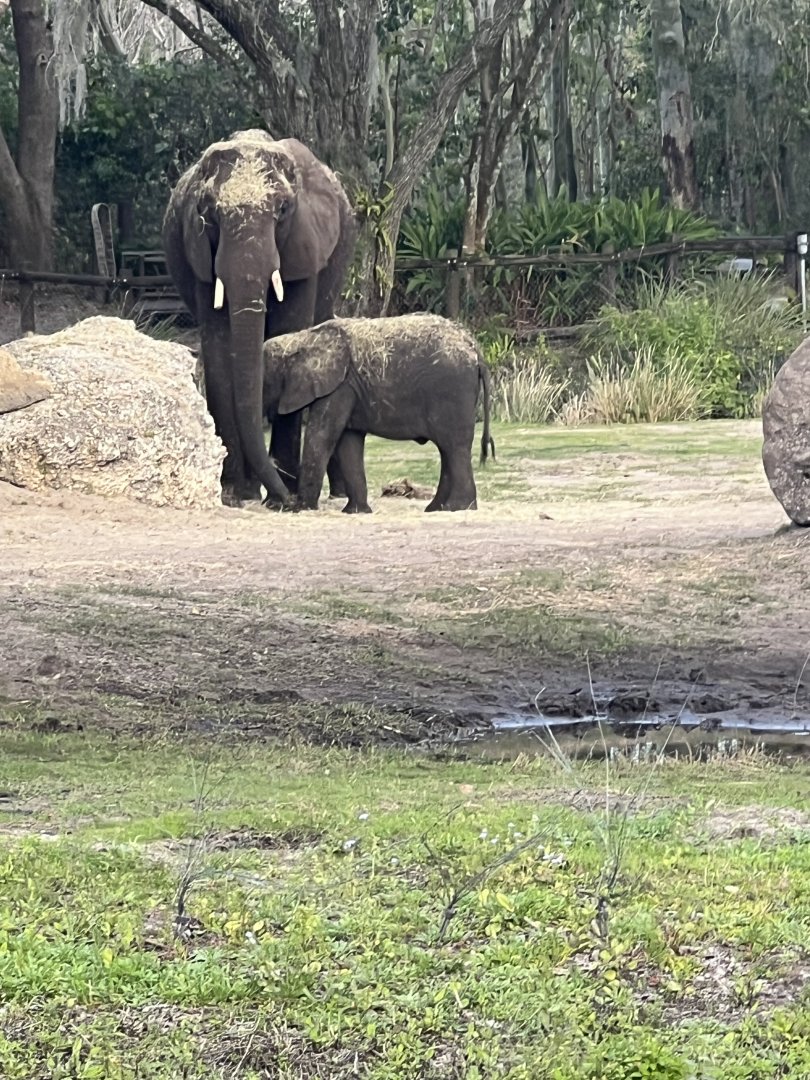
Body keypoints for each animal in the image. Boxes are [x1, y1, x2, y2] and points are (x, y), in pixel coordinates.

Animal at [162, 129, 356, 505]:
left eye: (282, 210)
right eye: (209, 212)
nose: (289, 500)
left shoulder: (304, 244)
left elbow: (288, 332)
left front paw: (282, 494)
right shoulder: (200, 256)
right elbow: (220, 350)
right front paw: (235, 494)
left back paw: (334, 493)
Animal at [261, 313, 495, 513]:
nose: (283, 502)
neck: (302, 339)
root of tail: (475, 349)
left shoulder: (339, 386)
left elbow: (322, 437)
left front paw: (300, 508)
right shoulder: (350, 389)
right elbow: (348, 443)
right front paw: (355, 512)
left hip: (452, 391)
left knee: (454, 446)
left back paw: (457, 508)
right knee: (447, 449)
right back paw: (437, 508)